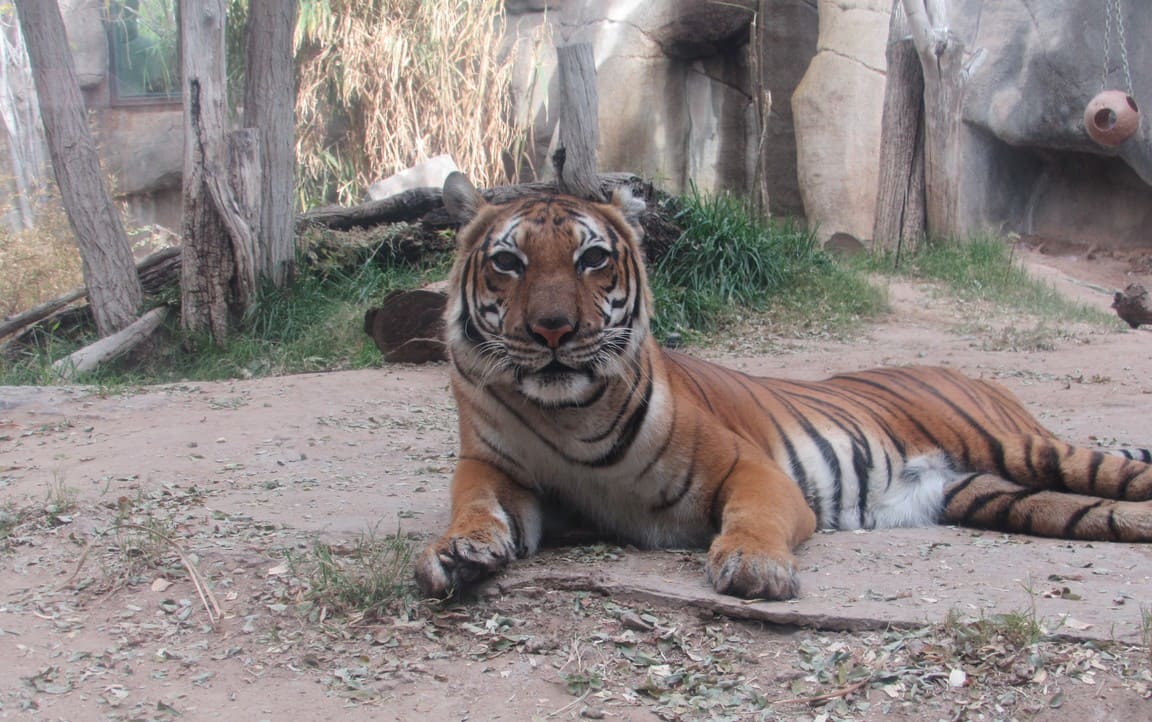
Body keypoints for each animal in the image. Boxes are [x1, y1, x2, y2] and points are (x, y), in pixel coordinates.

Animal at [413, 172, 1152, 601]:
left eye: (591, 258)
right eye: (508, 262)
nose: (552, 330)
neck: (568, 414)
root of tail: (965, 371)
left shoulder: (751, 468)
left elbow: (754, 516)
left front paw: (754, 566)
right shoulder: (495, 468)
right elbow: (475, 504)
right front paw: (458, 551)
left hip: (1027, 450)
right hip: (994, 493)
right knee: (1099, 512)